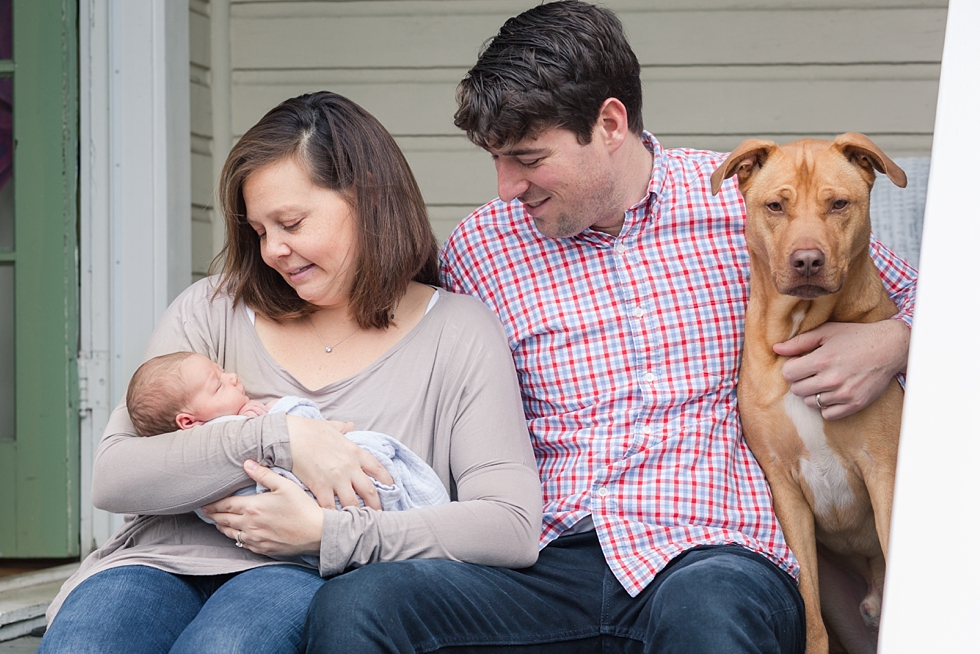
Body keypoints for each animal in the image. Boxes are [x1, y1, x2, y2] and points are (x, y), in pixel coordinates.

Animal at [708, 135, 908, 654]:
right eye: (775, 206)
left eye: (838, 204)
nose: (807, 261)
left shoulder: (883, 472)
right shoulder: (784, 489)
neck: (801, 327)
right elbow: (809, 609)